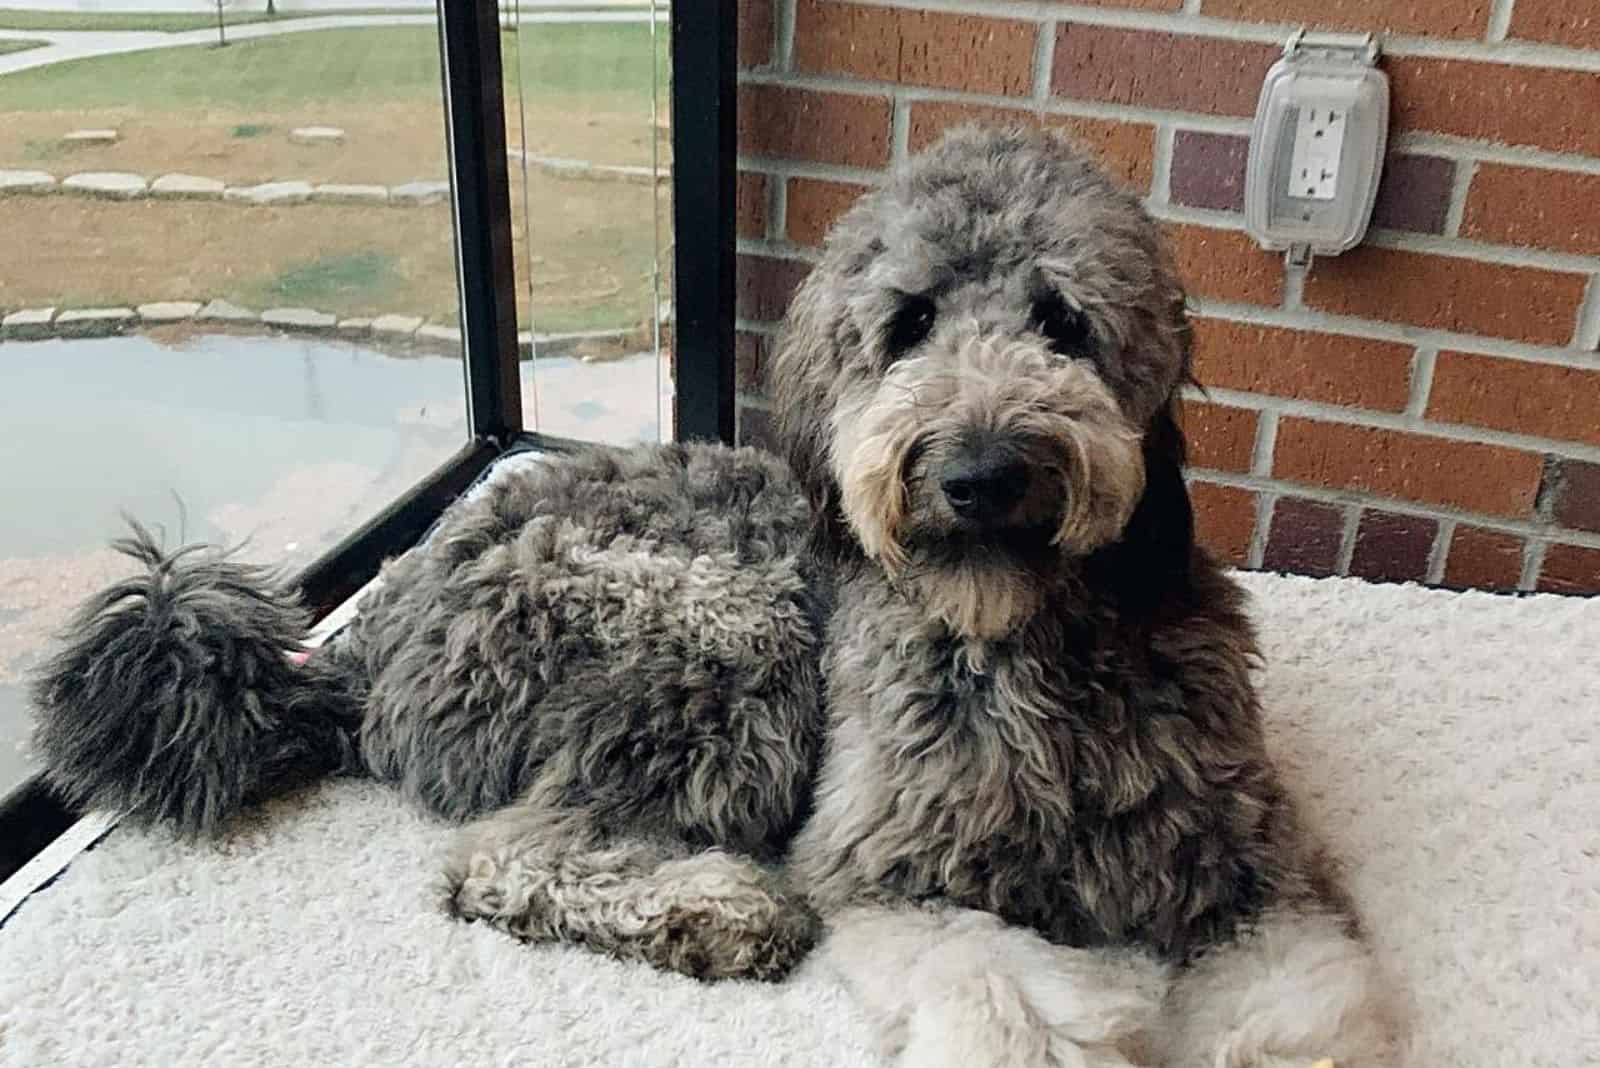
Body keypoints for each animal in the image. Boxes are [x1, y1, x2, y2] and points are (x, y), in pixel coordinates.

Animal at [31, 127, 1395, 1068]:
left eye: (1062, 321)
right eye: (907, 324)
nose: (978, 471)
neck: (1023, 642)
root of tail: (368, 632)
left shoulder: (1261, 872)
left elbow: (1302, 1003)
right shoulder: (883, 870)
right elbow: (1002, 993)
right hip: (721, 635)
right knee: (510, 856)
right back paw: (717, 907)